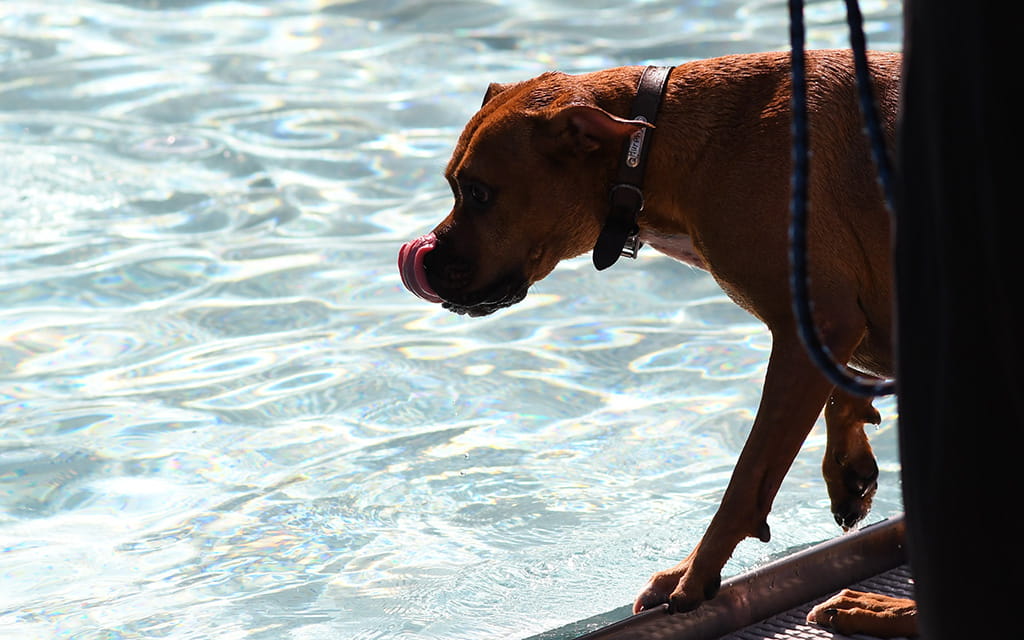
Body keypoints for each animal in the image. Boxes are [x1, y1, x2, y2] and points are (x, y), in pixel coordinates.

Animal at [399, 49, 913, 634]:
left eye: (480, 193)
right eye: (452, 186)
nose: (424, 263)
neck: (652, 149)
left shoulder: (811, 326)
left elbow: (746, 480)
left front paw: (693, 573)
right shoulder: (834, 327)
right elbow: (843, 386)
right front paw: (849, 462)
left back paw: (881, 608)